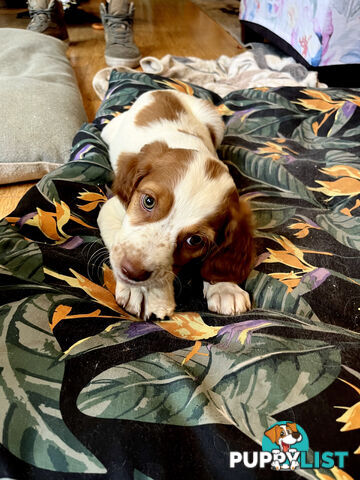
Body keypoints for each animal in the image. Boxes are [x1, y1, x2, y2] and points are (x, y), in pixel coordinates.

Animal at [97, 90, 255, 322]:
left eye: (195, 240)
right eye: (149, 201)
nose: (132, 272)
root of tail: (166, 90)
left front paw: (225, 288)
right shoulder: (111, 208)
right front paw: (142, 292)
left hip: (216, 123)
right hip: (110, 130)